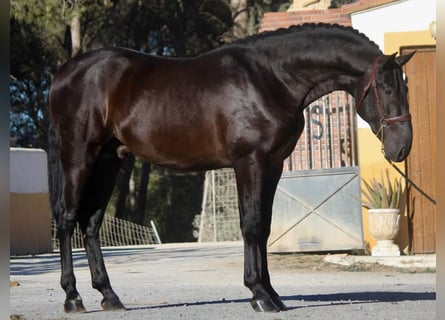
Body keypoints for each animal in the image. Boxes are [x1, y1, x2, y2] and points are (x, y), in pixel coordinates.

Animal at [48, 23, 412, 314]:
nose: (402, 147)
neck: (271, 79)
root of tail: (63, 74)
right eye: (387, 88)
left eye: (406, 87)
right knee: (67, 219)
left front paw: (271, 293)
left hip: (110, 161)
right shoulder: (249, 162)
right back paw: (72, 298)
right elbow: (251, 224)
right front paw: (260, 295)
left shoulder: (272, 165)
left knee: (91, 224)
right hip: (80, 155)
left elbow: (263, 228)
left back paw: (109, 295)